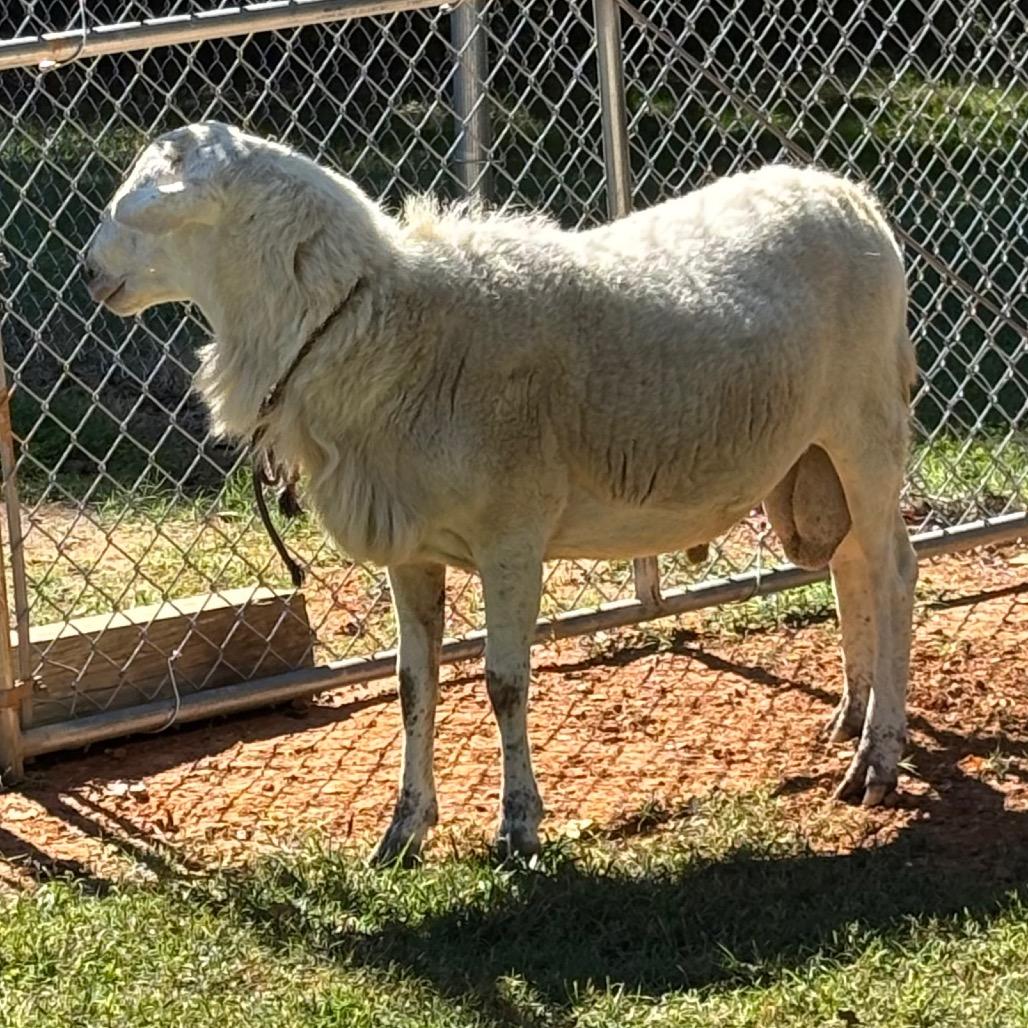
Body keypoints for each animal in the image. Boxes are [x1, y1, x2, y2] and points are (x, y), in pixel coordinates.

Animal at [85, 121, 918, 864]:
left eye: (141, 206)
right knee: (852, 564)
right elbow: (413, 686)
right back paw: (853, 715)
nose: (89, 273)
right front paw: (404, 833)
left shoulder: (512, 536)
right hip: (814, 453)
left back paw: (878, 756)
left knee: (893, 572)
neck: (378, 324)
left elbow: (504, 683)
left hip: (867, 426)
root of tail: (851, 195)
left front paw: (517, 828)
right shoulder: (412, 547)